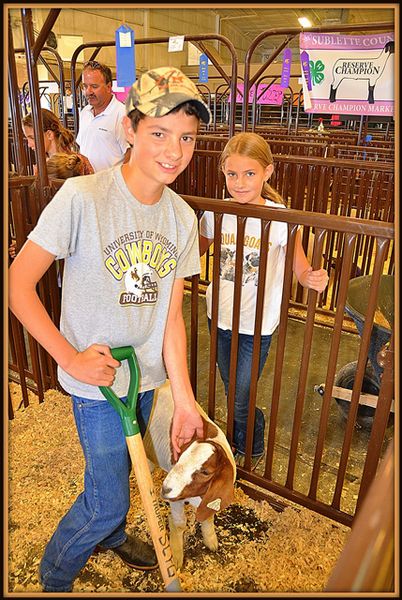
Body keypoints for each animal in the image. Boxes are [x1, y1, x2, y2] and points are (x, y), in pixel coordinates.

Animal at [143, 382, 236, 568]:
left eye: (206, 472)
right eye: (180, 455)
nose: (165, 488)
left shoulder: (209, 500)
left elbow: (208, 518)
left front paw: (211, 541)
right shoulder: (176, 500)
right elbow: (179, 524)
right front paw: (176, 556)